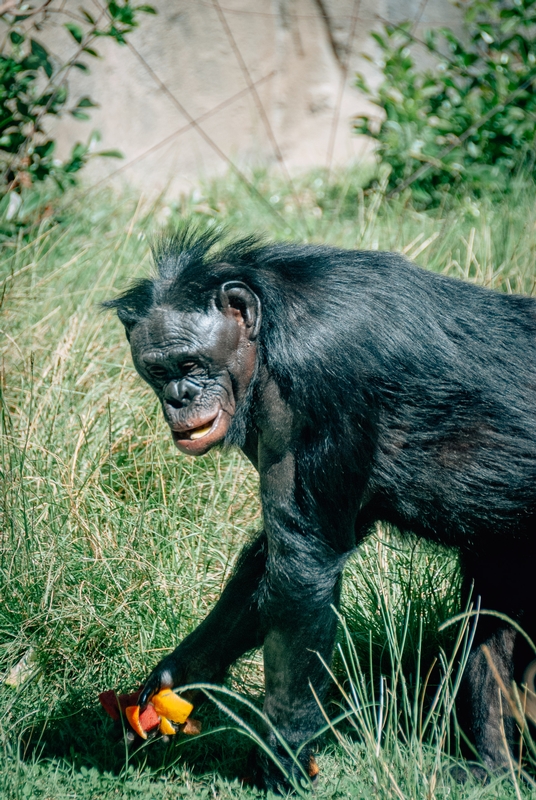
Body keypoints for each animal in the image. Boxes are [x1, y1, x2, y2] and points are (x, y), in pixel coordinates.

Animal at [103, 225, 536, 788]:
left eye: (192, 363)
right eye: (157, 370)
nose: (178, 396)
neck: (268, 336)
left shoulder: (321, 379)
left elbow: (301, 569)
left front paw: (281, 755)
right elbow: (269, 564)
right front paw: (176, 678)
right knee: (490, 615)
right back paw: (493, 769)